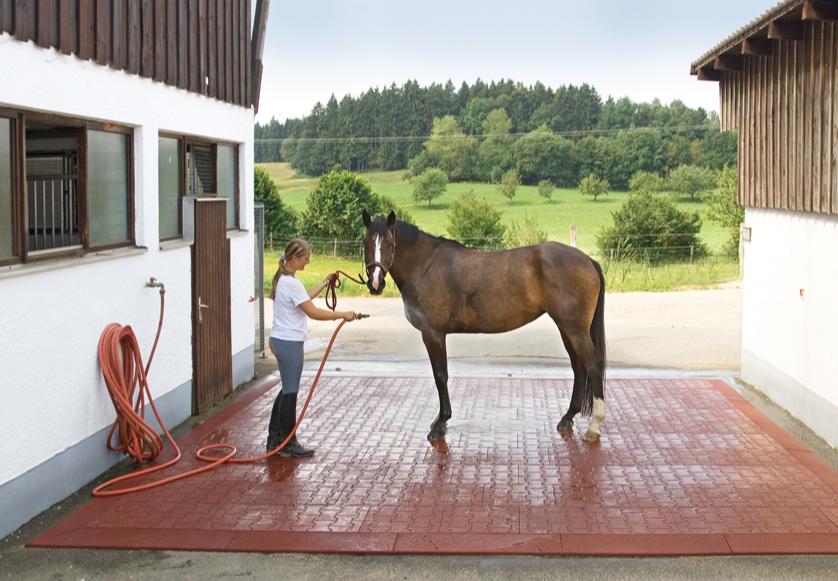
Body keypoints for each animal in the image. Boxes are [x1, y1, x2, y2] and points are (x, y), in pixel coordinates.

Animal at [361, 210, 607, 442]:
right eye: (365, 242)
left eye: (390, 243)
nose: (375, 283)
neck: (425, 265)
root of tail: (588, 260)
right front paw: (439, 421)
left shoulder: (433, 334)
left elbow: (440, 376)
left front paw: (440, 424)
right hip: (567, 328)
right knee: (578, 367)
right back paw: (567, 417)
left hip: (574, 329)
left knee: (592, 365)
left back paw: (594, 428)